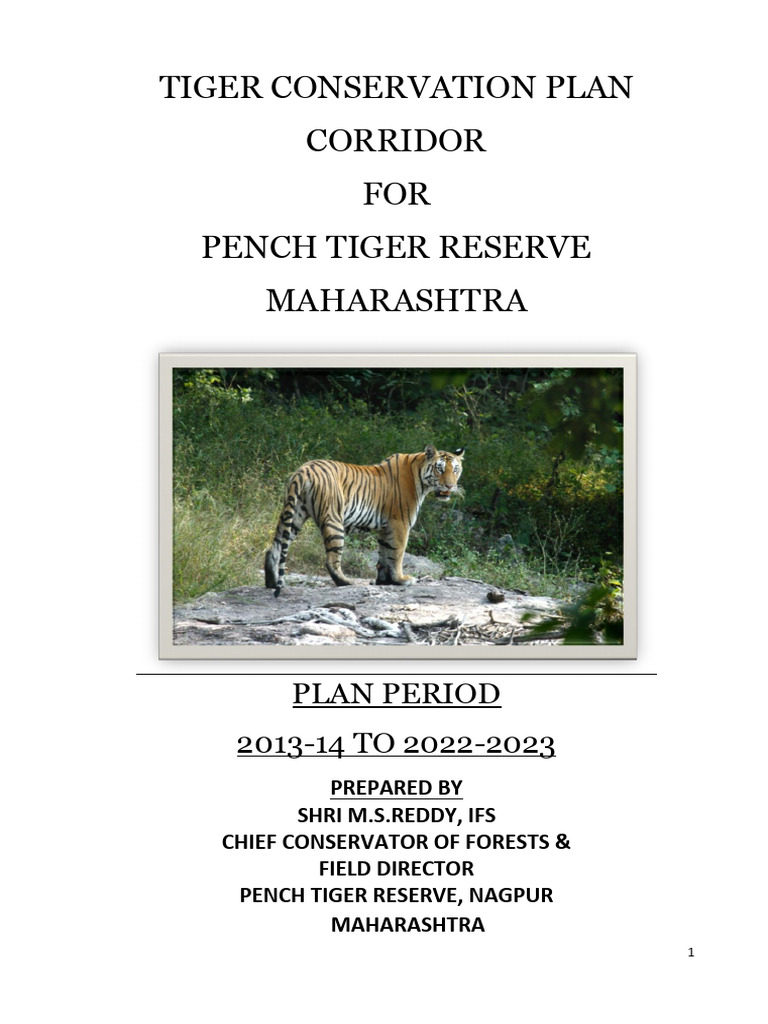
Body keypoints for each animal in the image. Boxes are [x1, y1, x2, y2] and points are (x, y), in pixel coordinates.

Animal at [264, 445, 465, 596]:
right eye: (440, 469)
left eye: (455, 470)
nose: (450, 486)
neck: (420, 477)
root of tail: (303, 470)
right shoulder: (400, 523)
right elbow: (397, 553)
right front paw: (401, 579)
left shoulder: (386, 527)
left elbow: (385, 554)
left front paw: (385, 581)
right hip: (333, 519)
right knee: (331, 559)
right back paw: (346, 582)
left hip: (295, 515)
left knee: (274, 547)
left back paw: (272, 582)